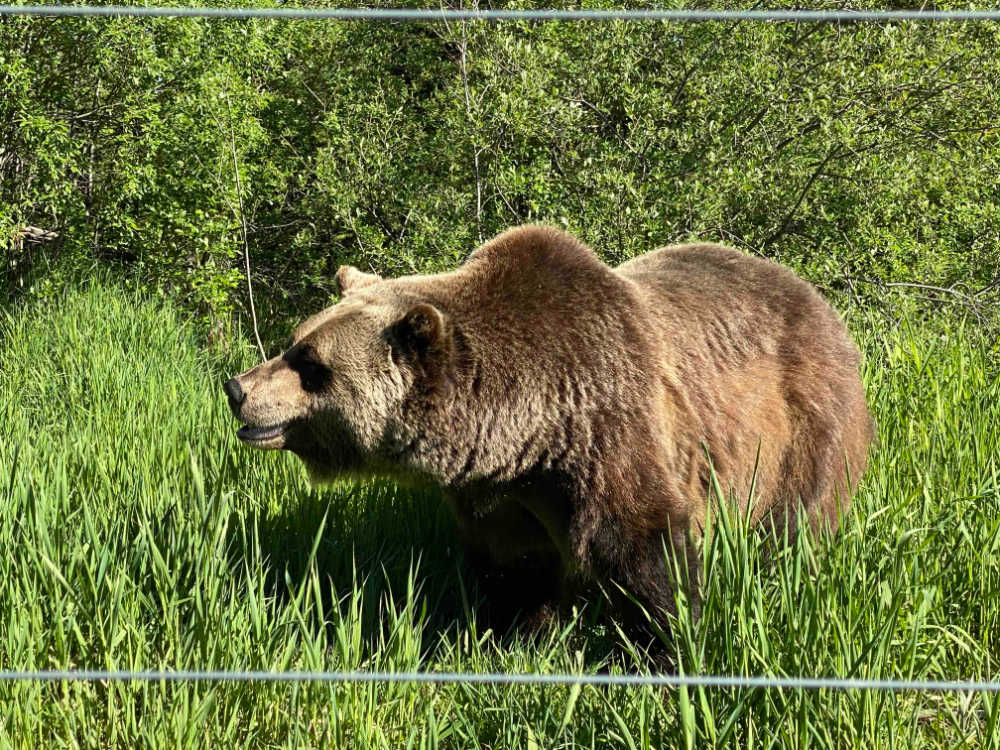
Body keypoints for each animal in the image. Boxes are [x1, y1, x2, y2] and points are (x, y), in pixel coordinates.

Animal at [223, 225, 874, 638]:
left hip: (802, 426)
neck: (527, 434)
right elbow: (517, 569)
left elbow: (651, 550)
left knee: (793, 524)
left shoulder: (613, 430)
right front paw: (517, 635)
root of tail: (820, 302)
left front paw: (665, 646)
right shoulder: (501, 497)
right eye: (293, 342)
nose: (237, 388)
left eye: (312, 365)